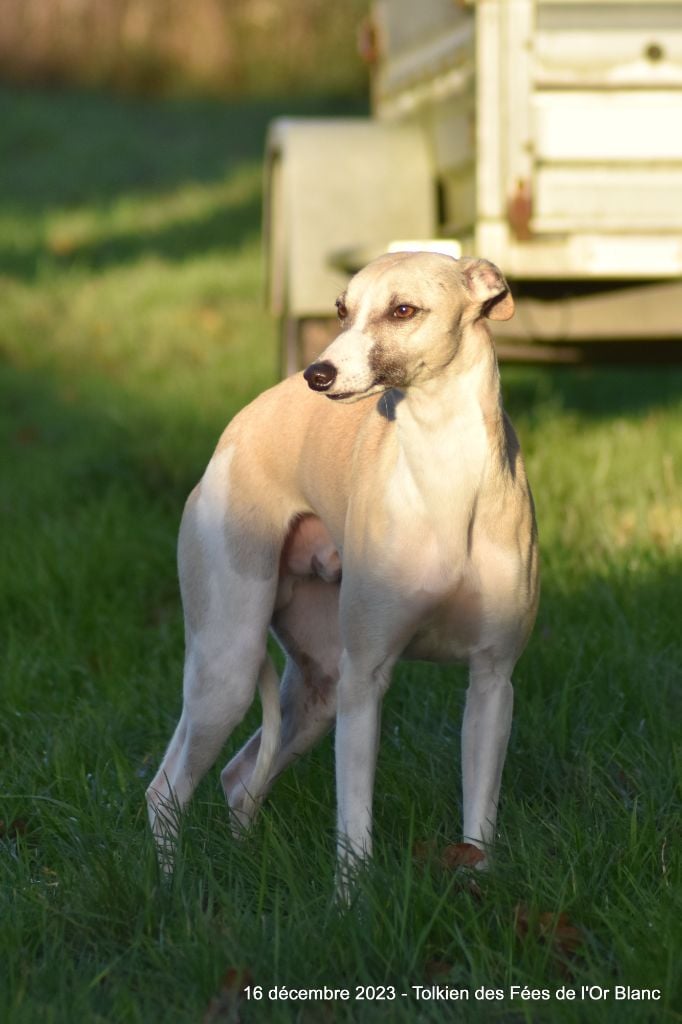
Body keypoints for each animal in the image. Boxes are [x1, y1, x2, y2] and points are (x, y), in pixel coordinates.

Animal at [147, 249, 536, 888]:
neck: (446, 474)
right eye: (340, 309)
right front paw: (350, 905)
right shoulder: (363, 679)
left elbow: (479, 821)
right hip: (228, 666)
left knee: (238, 776)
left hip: (317, 686)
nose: (318, 374)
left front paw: (479, 889)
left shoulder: (492, 681)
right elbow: (354, 828)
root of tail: (237, 428)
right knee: (166, 788)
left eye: (403, 310)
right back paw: (170, 891)